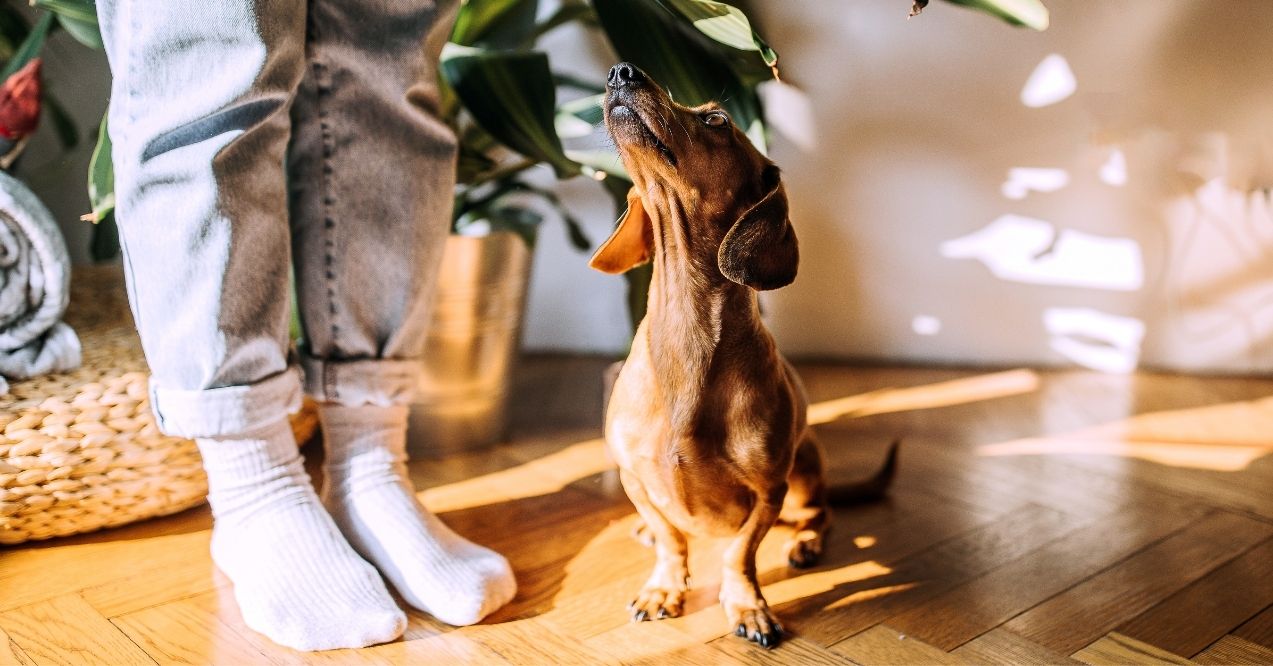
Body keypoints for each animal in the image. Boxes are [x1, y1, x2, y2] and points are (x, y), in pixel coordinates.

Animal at [588, 63, 896, 651]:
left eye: (717, 121)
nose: (621, 70)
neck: (685, 339)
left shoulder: (768, 488)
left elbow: (739, 553)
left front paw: (749, 605)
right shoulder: (633, 475)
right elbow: (670, 536)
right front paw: (664, 586)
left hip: (804, 473)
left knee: (820, 512)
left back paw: (806, 543)